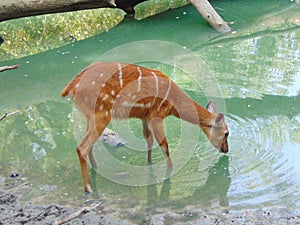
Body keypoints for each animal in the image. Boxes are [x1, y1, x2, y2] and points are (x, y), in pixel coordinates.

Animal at [61, 62, 230, 192]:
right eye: (227, 133)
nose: (226, 149)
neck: (173, 105)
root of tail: (71, 87)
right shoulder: (157, 115)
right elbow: (164, 145)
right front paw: (170, 171)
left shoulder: (144, 116)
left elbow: (148, 140)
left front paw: (149, 164)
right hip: (102, 113)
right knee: (82, 147)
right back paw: (88, 188)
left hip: (91, 115)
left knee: (87, 144)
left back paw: (96, 169)